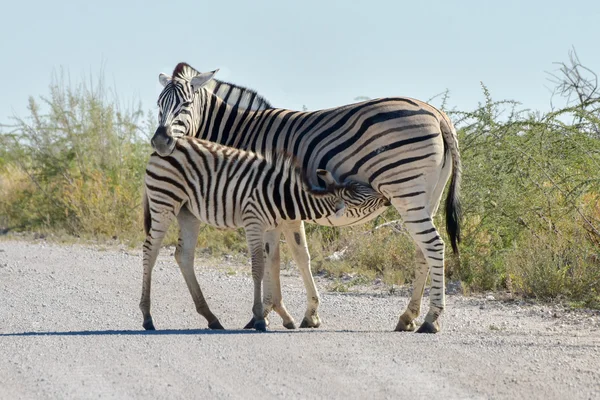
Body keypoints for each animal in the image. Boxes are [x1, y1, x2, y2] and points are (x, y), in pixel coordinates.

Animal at [141, 136, 390, 330]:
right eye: (364, 199)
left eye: (366, 190)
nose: (387, 199)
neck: (284, 197)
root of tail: (162, 147)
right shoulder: (254, 223)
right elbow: (258, 268)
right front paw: (260, 318)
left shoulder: (273, 226)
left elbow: (274, 263)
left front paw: (278, 316)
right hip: (164, 202)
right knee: (150, 251)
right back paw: (147, 317)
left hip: (188, 212)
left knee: (183, 256)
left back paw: (211, 318)